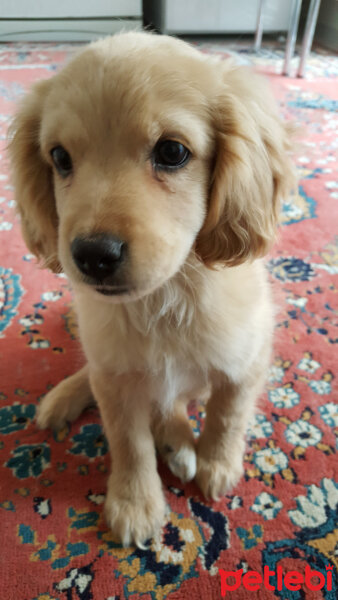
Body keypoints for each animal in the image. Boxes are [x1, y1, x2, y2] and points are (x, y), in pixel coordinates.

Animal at [7, 32, 294, 548]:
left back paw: (181, 444)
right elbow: (129, 442)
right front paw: (135, 502)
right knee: (105, 377)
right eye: (59, 158)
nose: (92, 255)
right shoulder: (117, 382)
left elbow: (227, 415)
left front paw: (218, 464)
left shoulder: (247, 360)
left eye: (172, 152)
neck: (166, 298)